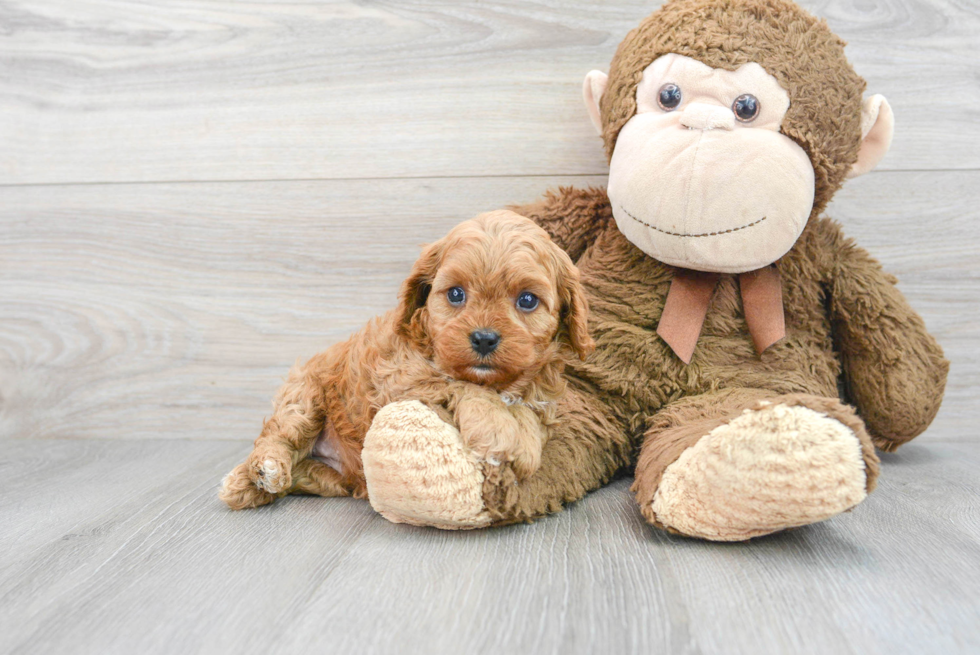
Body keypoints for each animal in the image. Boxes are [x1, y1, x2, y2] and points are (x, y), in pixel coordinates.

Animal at [219, 211, 592, 512]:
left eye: (527, 300)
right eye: (456, 294)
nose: (484, 338)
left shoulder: (541, 395)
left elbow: (530, 412)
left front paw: (525, 444)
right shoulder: (399, 381)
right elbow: (461, 384)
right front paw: (498, 430)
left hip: (333, 477)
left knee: (304, 474)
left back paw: (252, 484)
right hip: (304, 397)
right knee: (278, 435)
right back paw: (261, 471)